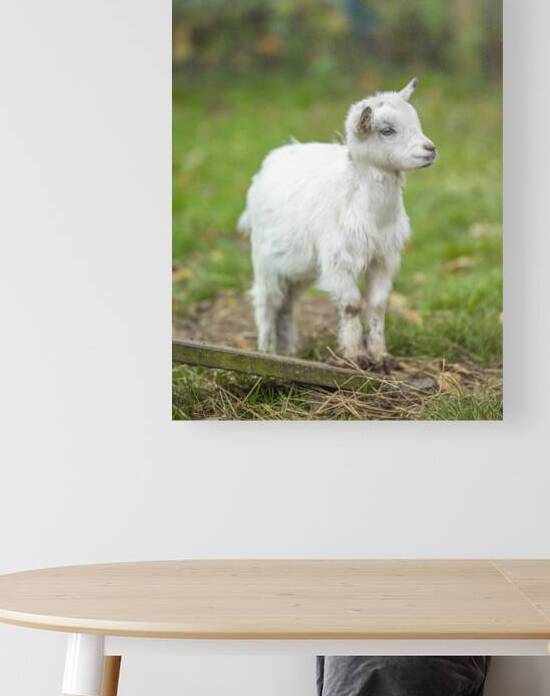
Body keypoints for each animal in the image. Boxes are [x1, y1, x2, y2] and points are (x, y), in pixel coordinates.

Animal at [238, 78, 436, 367]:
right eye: (387, 130)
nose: (430, 150)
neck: (373, 214)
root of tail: (272, 159)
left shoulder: (383, 257)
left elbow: (377, 305)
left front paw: (381, 357)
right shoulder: (338, 260)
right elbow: (352, 305)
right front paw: (355, 356)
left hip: (299, 266)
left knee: (286, 303)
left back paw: (289, 350)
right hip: (264, 258)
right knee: (266, 300)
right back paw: (267, 349)